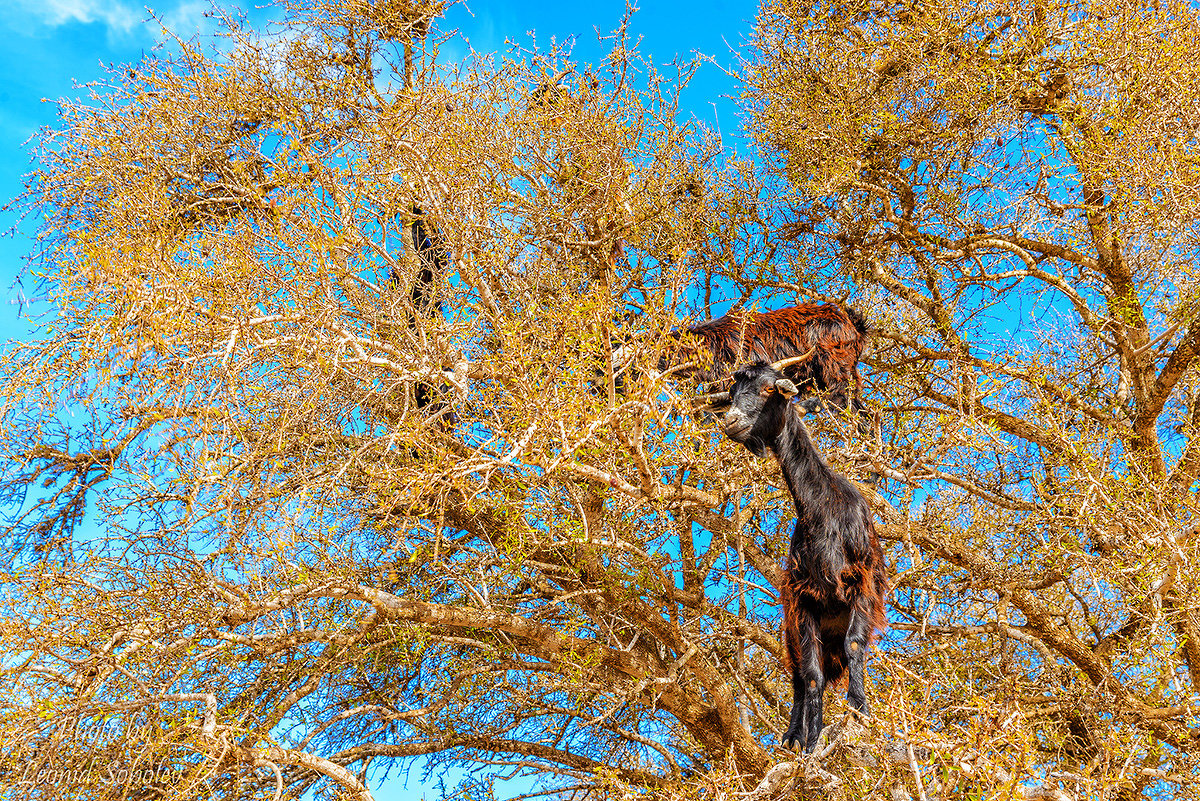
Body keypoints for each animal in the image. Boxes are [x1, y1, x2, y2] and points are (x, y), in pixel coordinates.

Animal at [715, 362, 888, 753]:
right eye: (733, 392)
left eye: (769, 390)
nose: (731, 421)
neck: (824, 511)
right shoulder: (803, 599)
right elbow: (810, 676)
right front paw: (810, 739)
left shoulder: (861, 584)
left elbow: (856, 644)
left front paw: (859, 708)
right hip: (791, 630)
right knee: (799, 675)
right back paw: (793, 736)